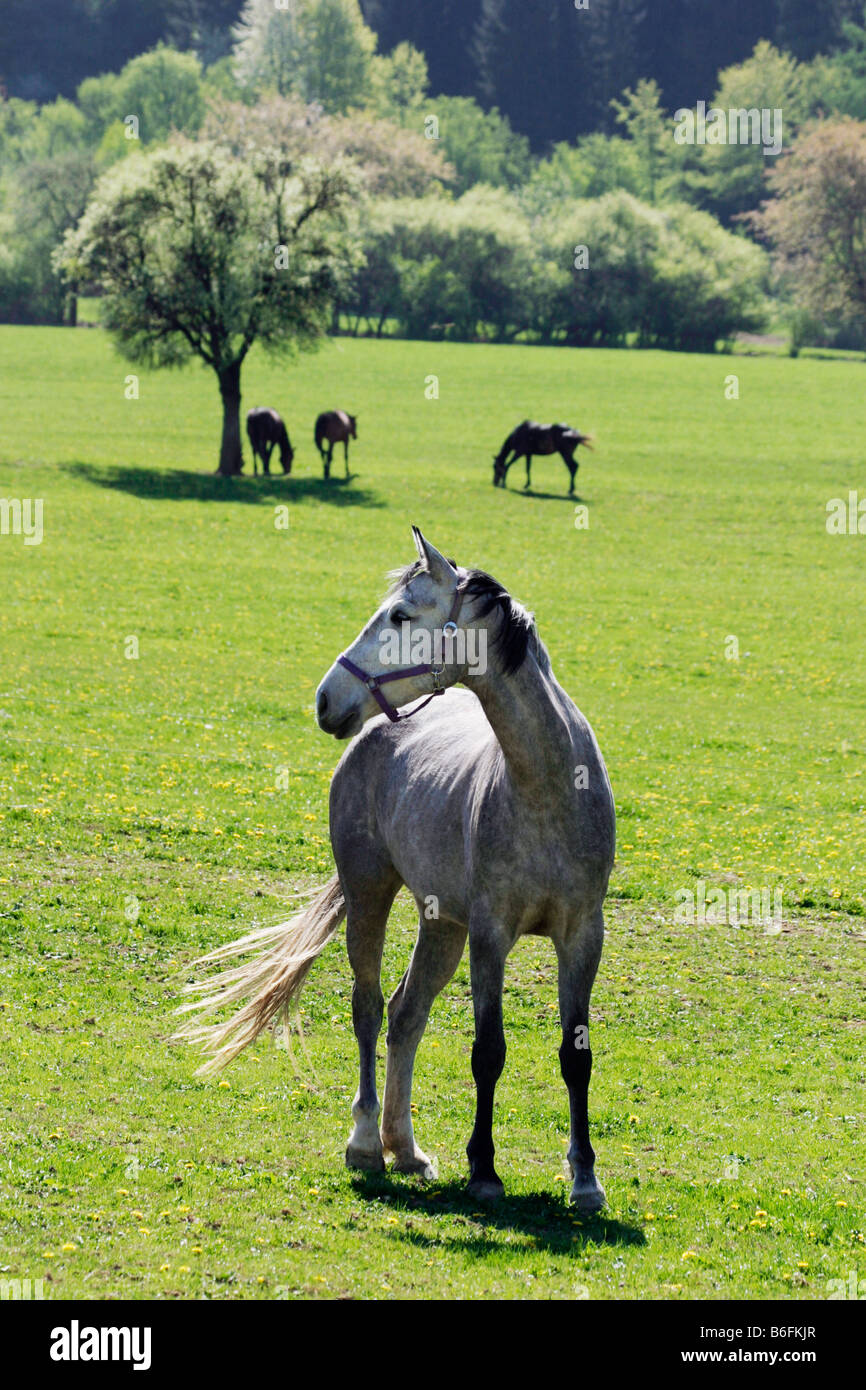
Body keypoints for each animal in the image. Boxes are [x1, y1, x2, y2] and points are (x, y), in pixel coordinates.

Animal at [179, 525, 617, 1212]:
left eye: (402, 616)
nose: (326, 698)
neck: (548, 790)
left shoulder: (582, 937)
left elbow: (577, 1058)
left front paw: (585, 1180)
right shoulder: (491, 937)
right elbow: (487, 1051)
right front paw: (484, 1170)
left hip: (442, 926)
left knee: (405, 1014)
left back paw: (404, 1147)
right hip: (371, 895)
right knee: (368, 1005)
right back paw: (366, 1142)